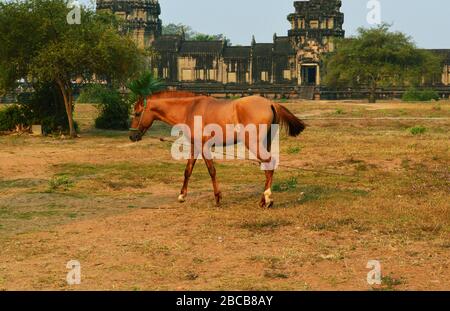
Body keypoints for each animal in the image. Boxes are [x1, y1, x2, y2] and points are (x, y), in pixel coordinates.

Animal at [130, 91, 306, 208]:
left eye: (137, 113)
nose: (132, 136)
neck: (190, 109)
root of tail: (269, 103)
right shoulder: (195, 146)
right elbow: (188, 171)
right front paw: (181, 196)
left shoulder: (203, 147)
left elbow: (211, 171)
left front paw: (217, 198)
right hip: (264, 143)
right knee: (267, 167)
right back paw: (265, 199)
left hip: (254, 143)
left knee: (269, 163)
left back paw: (267, 199)